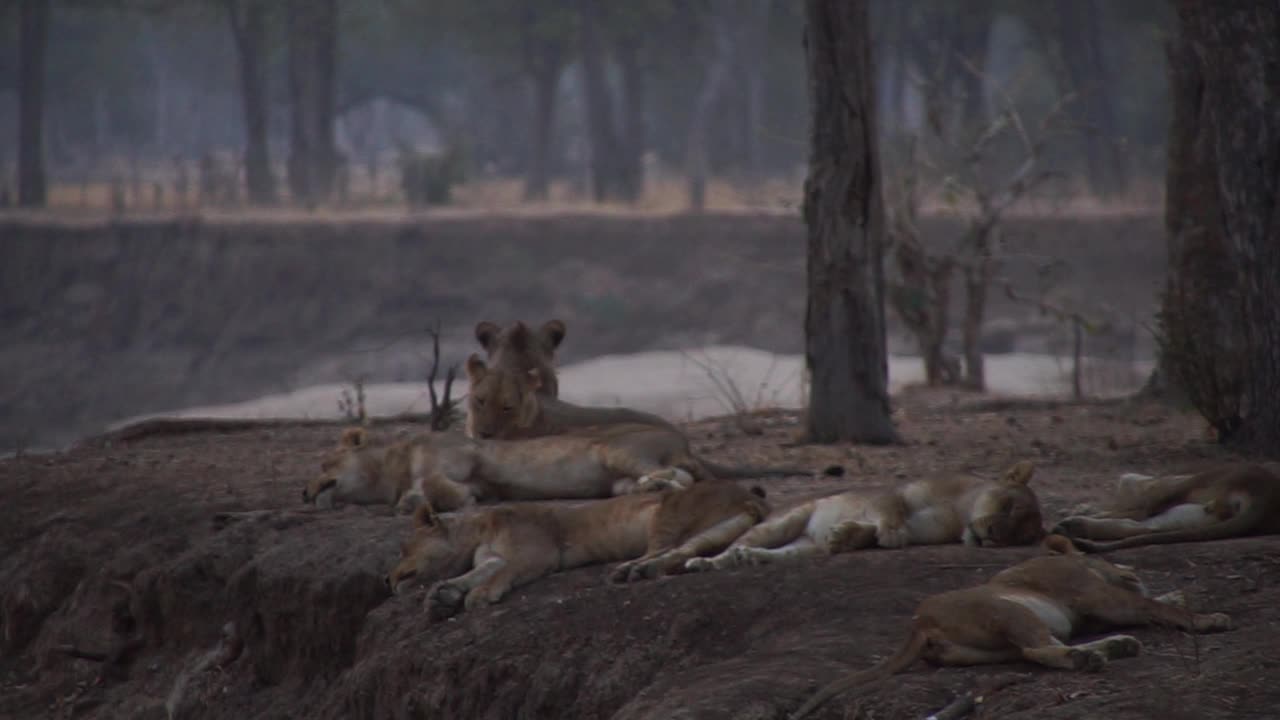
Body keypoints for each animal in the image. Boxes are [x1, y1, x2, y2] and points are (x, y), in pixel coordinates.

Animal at [381, 476, 768, 617]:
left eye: (403, 550)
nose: (387, 580)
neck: (478, 530)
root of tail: (750, 497)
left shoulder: (536, 553)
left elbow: (502, 573)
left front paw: (478, 596)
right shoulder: (492, 556)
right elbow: (480, 572)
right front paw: (443, 594)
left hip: (667, 514)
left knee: (663, 549)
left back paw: (631, 569)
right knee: (681, 552)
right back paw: (637, 570)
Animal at [686, 458, 1044, 571]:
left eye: (1018, 536)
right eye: (1007, 506)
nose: (994, 535)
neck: (958, 512)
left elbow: (870, 533)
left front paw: (843, 537)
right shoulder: (893, 493)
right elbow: (892, 513)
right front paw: (891, 533)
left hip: (804, 548)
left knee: (776, 553)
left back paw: (751, 558)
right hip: (785, 521)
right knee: (732, 546)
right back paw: (708, 563)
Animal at [783, 538, 1233, 717]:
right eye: (1101, 555)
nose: (1131, 568)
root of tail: (919, 623)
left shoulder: (1098, 609)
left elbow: (1161, 603)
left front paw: (1179, 595)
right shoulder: (1099, 598)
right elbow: (1152, 605)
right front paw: (1208, 618)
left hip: (994, 643)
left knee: (1040, 649)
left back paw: (1115, 647)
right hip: (1010, 611)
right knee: (1039, 650)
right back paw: (1093, 658)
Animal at [1049, 458, 1280, 548]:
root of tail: (1267, 494)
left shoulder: (1160, 493)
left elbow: (1125, 510)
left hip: (1201, 483)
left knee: (1139, 519)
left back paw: (1071, 525)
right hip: (1189, 514)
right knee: (1138, 527)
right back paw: (1071, 526)